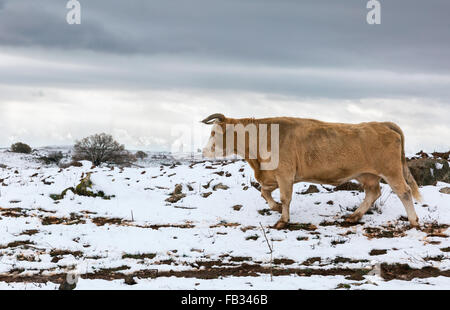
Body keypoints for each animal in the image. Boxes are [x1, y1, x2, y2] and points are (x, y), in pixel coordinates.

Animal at [200, 112, 422, 229]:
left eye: (214, 133)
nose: (204, 151)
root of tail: (381, 124)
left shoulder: (284, 174)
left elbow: (285, 198)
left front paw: (282, 220)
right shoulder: (272, 176)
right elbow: (265, 193)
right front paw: (276, 208)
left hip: (391, 170)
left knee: (404, 192)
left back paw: (413, 221)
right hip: (367, 174)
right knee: (373, 193)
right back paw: (354, 216)